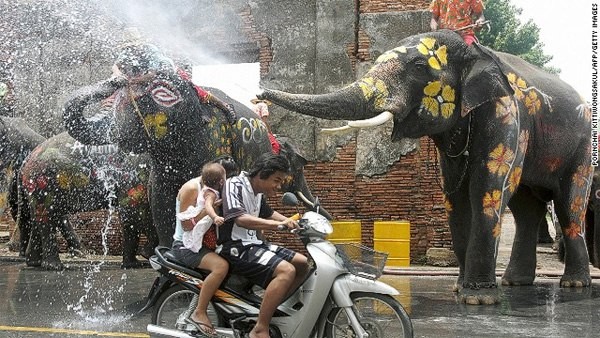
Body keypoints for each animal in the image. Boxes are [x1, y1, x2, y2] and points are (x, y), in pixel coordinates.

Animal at [260, 29, 592, 304]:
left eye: (419, 67)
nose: (260, 94)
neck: (474, 50)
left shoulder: (506, 115)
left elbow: (486, 191)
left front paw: (478, 300)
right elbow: (454, 198)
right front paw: (460, 290)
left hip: (583, 146)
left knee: (569, 206)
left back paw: (575, 285)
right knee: (526, 209)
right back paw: (515, 283)